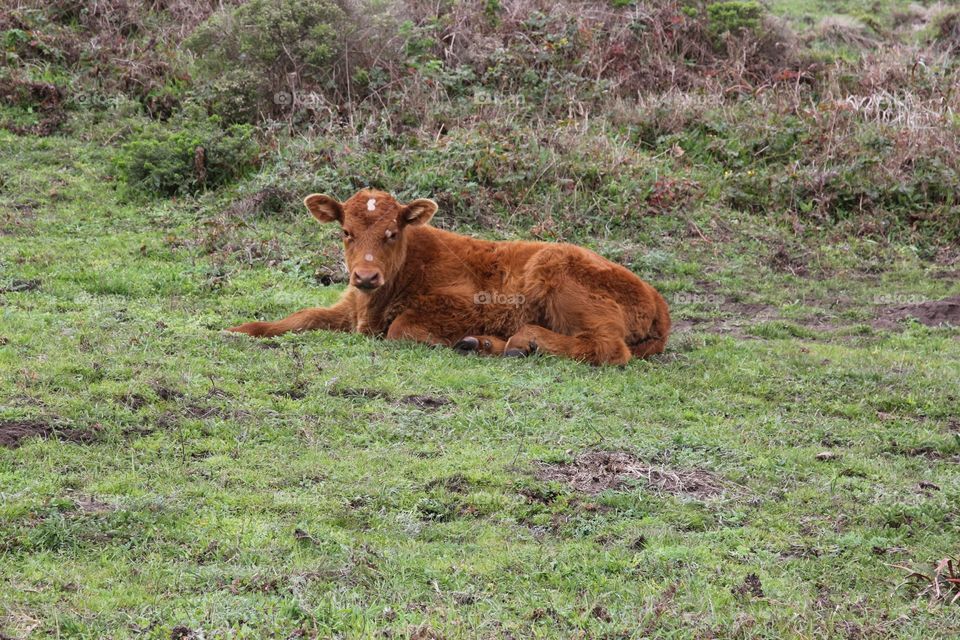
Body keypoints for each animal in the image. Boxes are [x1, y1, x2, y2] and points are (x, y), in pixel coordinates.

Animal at [228, 189, 672, 364]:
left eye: (392, 233)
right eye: (346, 232)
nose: (366, 275)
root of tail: (657, 300)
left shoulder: (469, 304)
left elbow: (401, 328)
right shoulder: (348, 305)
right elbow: (301, 317)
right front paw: (240, 329)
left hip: (558, 272)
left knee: (607, 347)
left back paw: (520, 341)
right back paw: (485, 344)